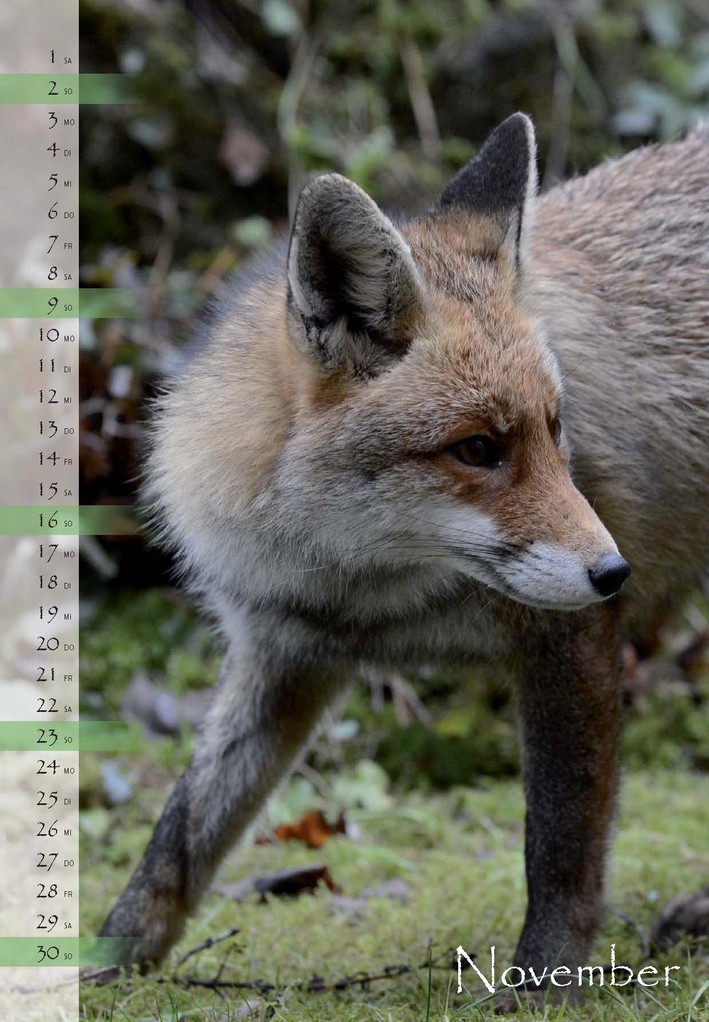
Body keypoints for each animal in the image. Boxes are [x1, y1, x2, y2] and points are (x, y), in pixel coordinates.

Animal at [98, 113, 709, 1003]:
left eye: (555, 429)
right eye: (478, 448)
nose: (612, 574)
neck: (364, 590)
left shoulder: (567, 641)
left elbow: (559, 844)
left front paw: (542, 986)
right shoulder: (283, 651)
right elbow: (181, 831)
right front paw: (105, 964)